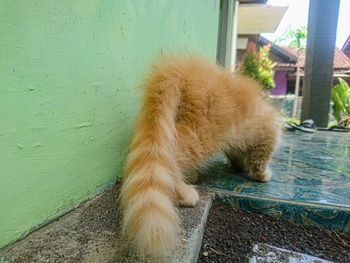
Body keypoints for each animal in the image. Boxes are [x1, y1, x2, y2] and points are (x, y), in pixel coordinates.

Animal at [119, 54, 280, 260]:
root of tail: (178, 70)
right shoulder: (269, 130)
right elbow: (261, 158)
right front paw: (260, 175)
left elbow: (237, 154)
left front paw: (238, 165)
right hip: (202, 133)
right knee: (171, 157)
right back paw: (184, 193)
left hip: (170, 121)